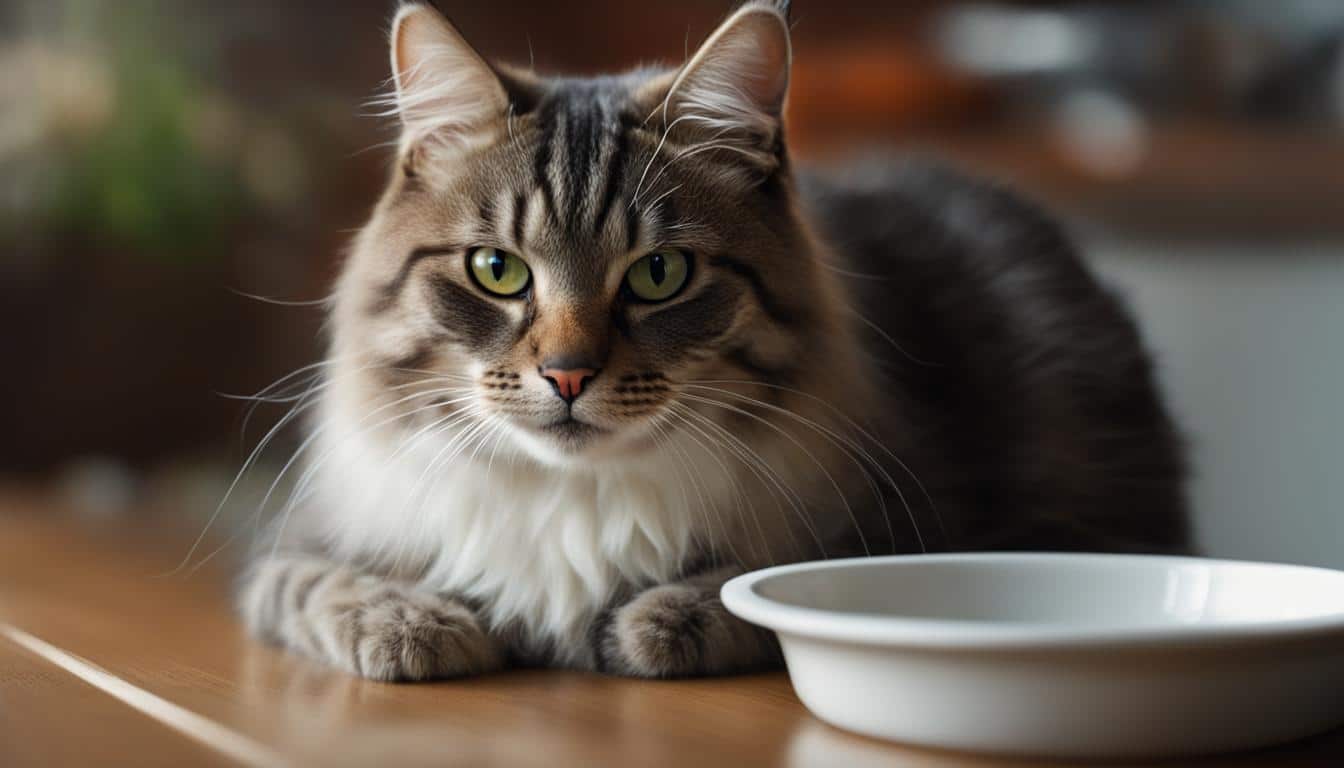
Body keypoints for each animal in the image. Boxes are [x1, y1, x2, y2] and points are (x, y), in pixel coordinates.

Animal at [236, 0, 1182, 683]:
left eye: (659, 274)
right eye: (498, 270)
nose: (567, 375)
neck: (575, 496)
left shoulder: (908, 525)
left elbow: (742, 588)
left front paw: (652, 623)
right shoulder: (290, 549)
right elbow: (323, 586)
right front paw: (418, 627)